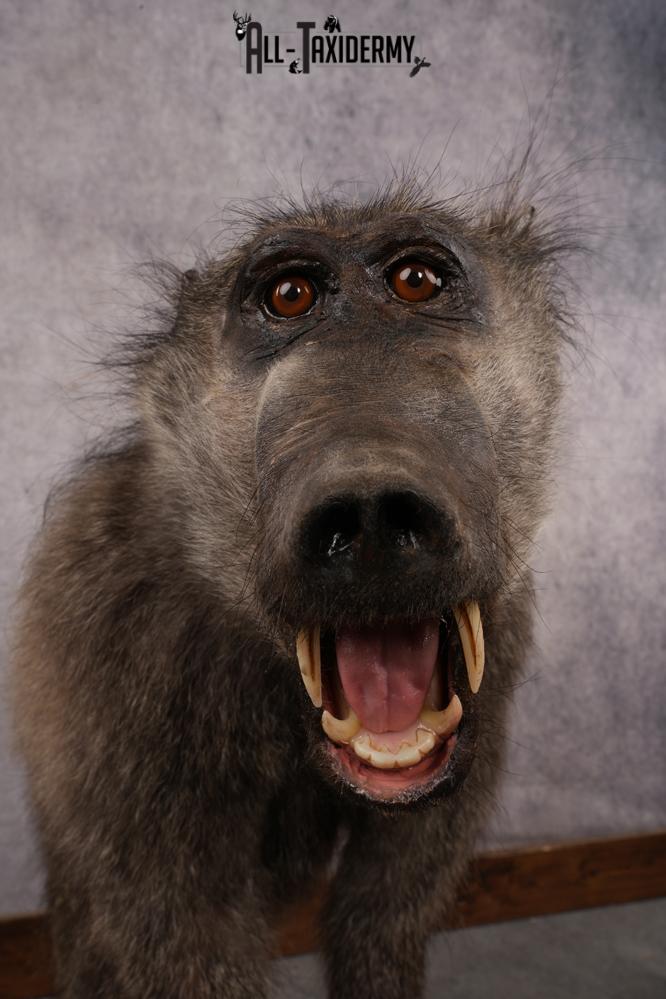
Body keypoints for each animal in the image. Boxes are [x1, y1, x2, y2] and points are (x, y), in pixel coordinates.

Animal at [11, 166, 578, 998]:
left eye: (416, 280)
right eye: (290, 297)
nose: (370, 513)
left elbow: (379, 919)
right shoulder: (112, 648)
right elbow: (187, 937)